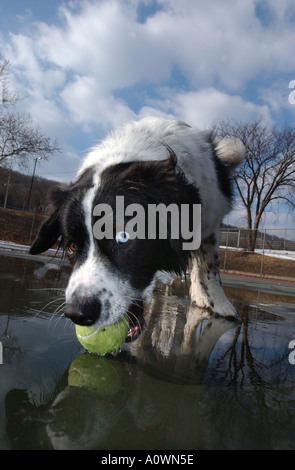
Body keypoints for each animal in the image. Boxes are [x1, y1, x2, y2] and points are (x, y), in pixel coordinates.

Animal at [30, 116, 245, 340]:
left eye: (122, 237)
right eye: (72, 246)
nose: (77, 313)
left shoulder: (211, 220)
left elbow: (210, 267)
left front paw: (221, 304)